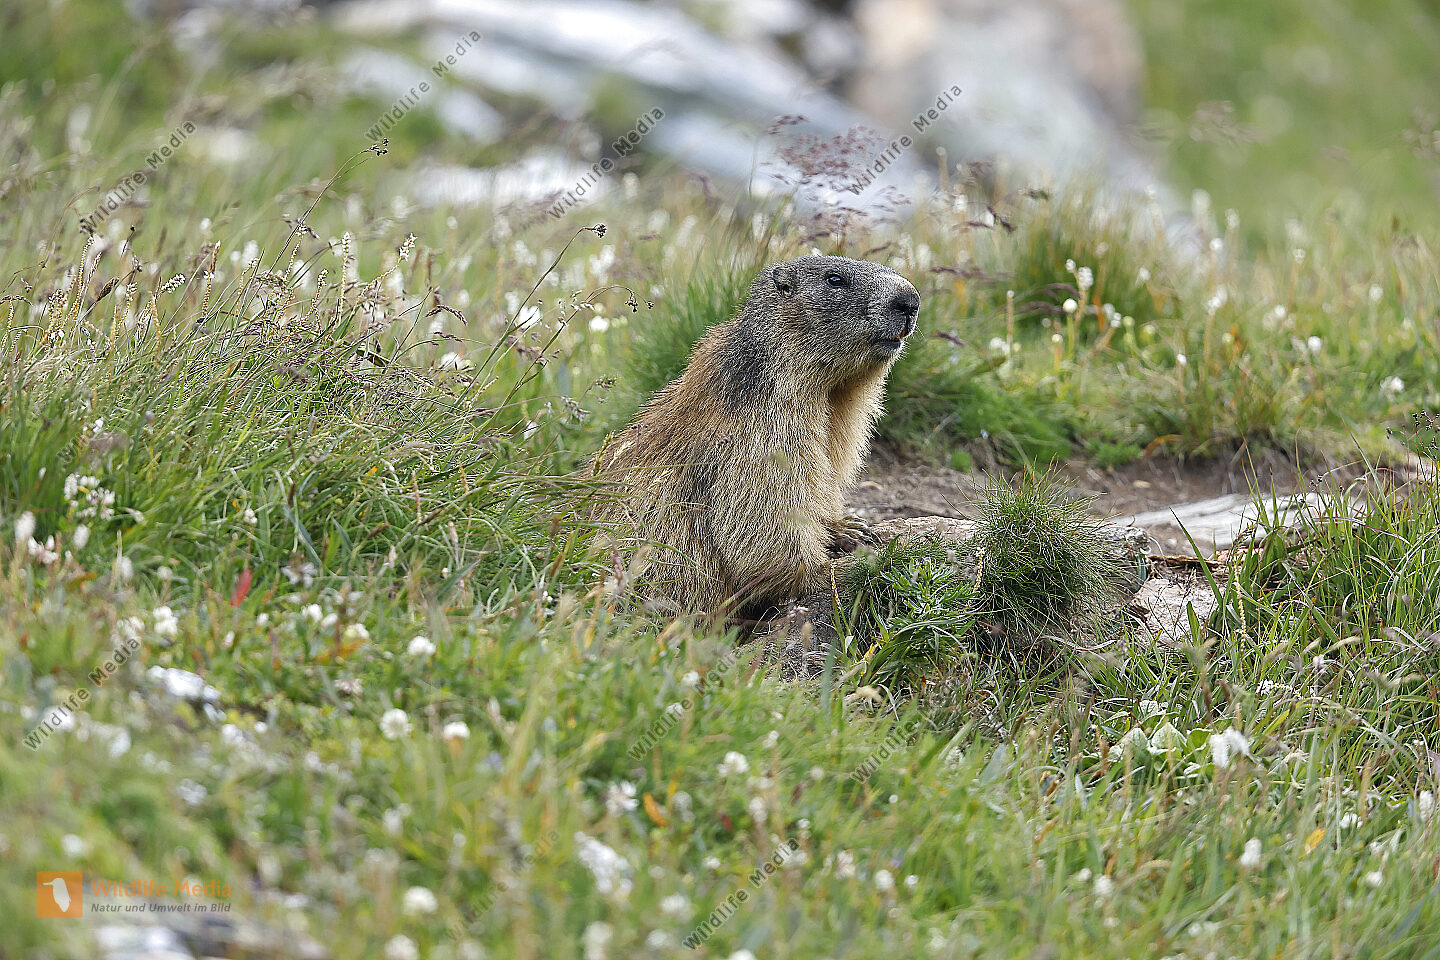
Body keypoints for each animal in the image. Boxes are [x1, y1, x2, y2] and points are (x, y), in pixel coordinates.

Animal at [595, 255, 920, 616]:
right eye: (835, 279)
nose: (910, 300)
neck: (832, 393)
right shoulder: (767, 427)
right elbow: (767, 512)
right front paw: (838, 570)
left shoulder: (841, 422)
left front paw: (849, 526)